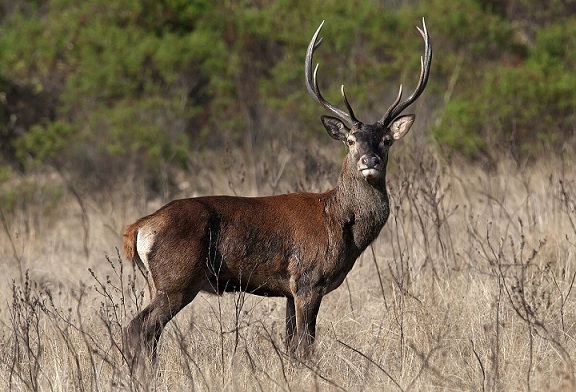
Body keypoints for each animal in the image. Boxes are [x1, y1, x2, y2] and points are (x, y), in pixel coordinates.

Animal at [124, 17, 430, 368]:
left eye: (386, 140)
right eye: (351, 140)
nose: (370, 161)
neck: (340, 222)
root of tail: (140, 228)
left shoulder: (288, 289)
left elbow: (290, 344)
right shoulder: (308, 278)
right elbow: (306, 344)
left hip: (157, 282)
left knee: (147, 332)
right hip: (176, 279)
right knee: (139, 328)